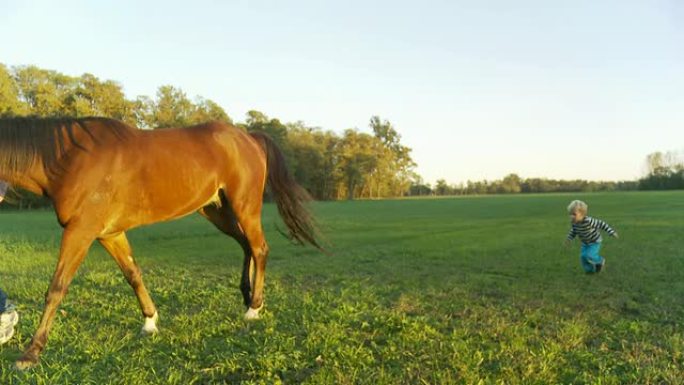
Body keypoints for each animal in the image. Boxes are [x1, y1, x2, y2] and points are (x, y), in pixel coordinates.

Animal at [0, 116, 320, 366]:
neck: (66, 157)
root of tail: (249, 138)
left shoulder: (80, 231)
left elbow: (56, 288)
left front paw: (31, 353)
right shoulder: (109, 233)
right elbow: (133, 274)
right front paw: (150, 321)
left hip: (245, 207)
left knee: (259, 248)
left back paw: (253, 308)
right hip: (216, 210)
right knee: (246, 246)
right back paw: (248, 296)